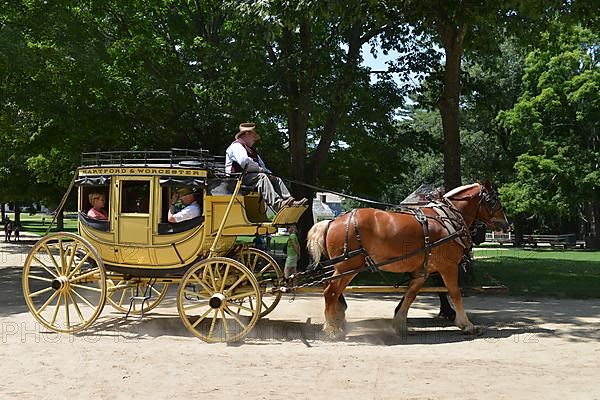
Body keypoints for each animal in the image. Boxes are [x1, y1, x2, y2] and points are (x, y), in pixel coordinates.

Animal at [308, 180, 508, 340]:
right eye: (493, 200)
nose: (506, 225)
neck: (447, 219)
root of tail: (332, 222)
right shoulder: (448, 267)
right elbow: (455, 293)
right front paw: (466, 324)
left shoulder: (422, 270)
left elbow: (410, 295)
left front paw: (399, 323)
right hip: (347, 266)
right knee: (330, 292)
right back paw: (332, 329)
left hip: (346, 268)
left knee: (331, 289)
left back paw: (335, 323)